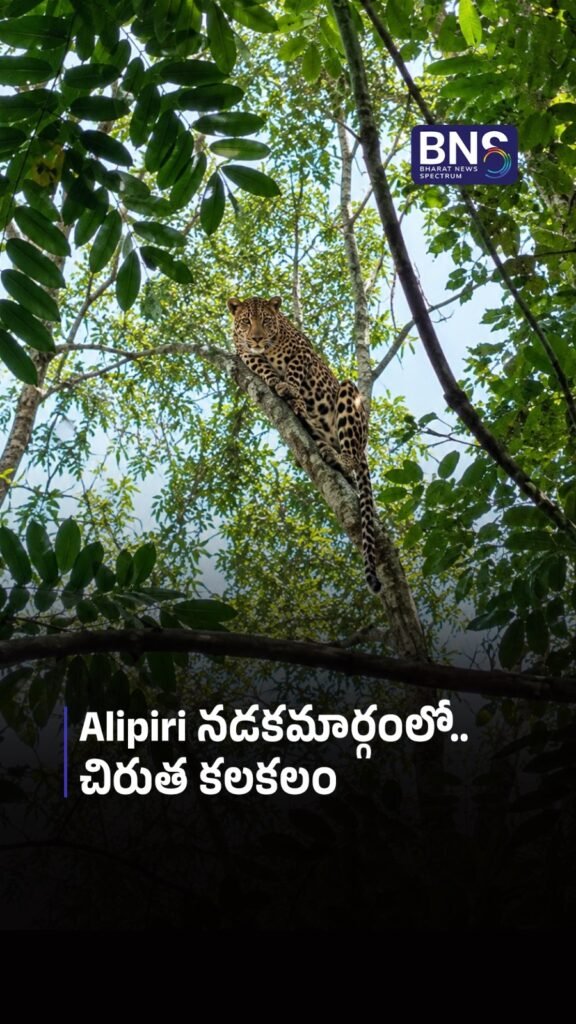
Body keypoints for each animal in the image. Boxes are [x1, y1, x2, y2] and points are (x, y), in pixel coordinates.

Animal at [228, 295, 382, 594]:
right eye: (246, 322)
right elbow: (262, 367)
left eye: (266, 320)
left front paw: (291, 389)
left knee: (353, 458)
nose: (256, 337)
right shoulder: (244, 355)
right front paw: (280, 386)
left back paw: (338, 456)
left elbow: (295, 372)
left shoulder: (303, 352)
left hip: (348, 395)